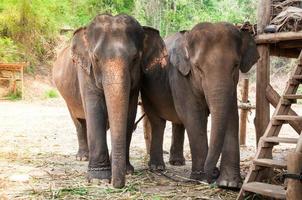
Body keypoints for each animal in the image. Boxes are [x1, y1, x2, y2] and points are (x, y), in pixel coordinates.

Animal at [53, 13, 169, 188]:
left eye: (135, 59)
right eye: (95, 58)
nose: (117, 184)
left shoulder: (137, 80)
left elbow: (129, 113)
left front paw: (127, 171)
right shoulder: (85, 71)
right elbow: (95, 111)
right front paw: (98, 179)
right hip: (67, 98)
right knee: (79, 122)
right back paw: (82, 157)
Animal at [140, 22, 258, 189]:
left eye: (235, 65)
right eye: (198, 67)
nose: (214, 172)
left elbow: (231, 115)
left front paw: (229, 184)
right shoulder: (179, 76)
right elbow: (192, 115)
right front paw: (200, 178)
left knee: (178, 123)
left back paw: (177, 162)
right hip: (147, 91)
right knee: (158, 122)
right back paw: (158, 167)